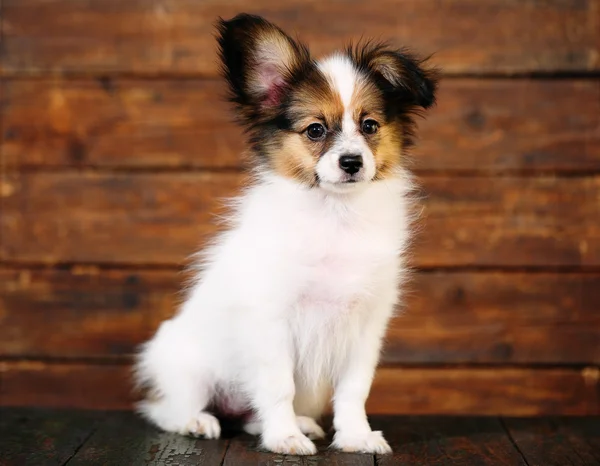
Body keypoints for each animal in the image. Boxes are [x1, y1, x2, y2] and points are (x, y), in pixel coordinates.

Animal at [135, 12, 436, 454]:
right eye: (315, 130)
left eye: (369, 126)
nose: (351, 162)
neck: (335, 215)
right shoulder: (272, 319)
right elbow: (279, 386)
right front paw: (285, 438)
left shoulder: (366, 325)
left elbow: (354, 389)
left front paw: (355, 436)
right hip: (187, 367)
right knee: (165, 409)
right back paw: (198, 421)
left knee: (248, 416)